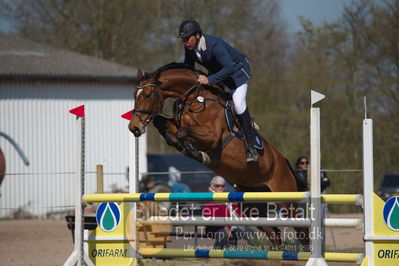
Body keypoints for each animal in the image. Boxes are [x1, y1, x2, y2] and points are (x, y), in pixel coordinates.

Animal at [128, 62, 310, 249]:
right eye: (135, 95)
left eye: (148, 95)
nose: (134, 128)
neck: (195, 99)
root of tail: (284, 162)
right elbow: (162, 122)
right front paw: (179, 144)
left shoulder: (212, 136)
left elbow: (182, 132)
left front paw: (194, 151)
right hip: (252, 205)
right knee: (274, 233)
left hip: (285, 200)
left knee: (301, 230)